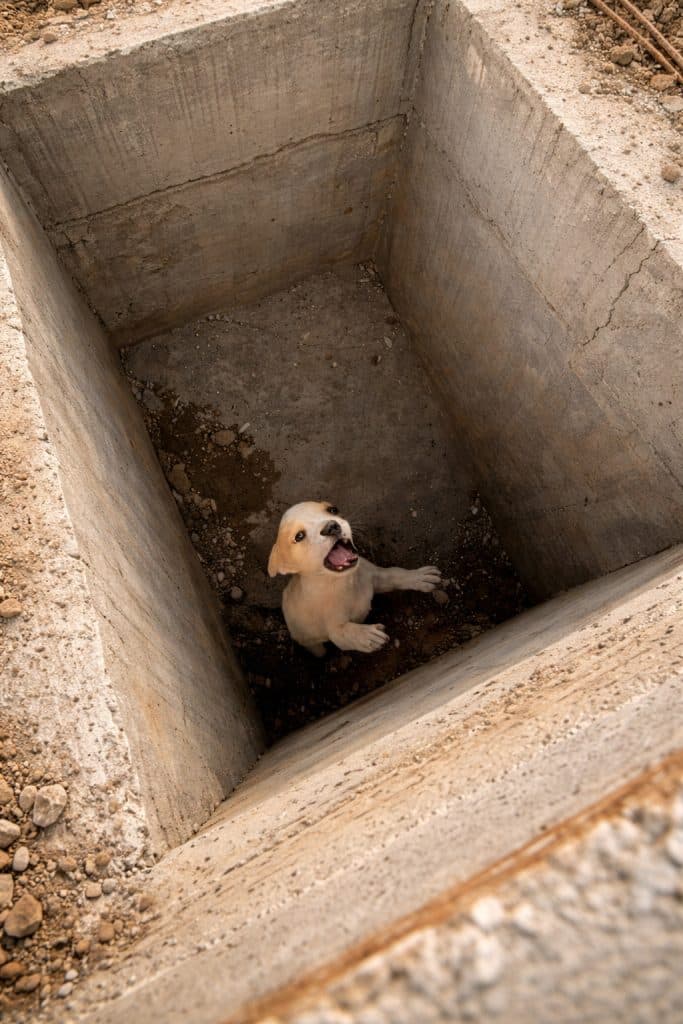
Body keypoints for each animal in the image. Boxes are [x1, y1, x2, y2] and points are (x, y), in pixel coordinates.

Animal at [268, 501, 441, 655]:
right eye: (299, 536)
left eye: (333, 510)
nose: (331, 526)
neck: (343, 582)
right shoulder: (336, 633)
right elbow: (347, 632)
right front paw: (367, 636)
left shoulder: (377, 577)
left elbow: (396, 574)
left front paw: (418, 577)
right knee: (317, 648)